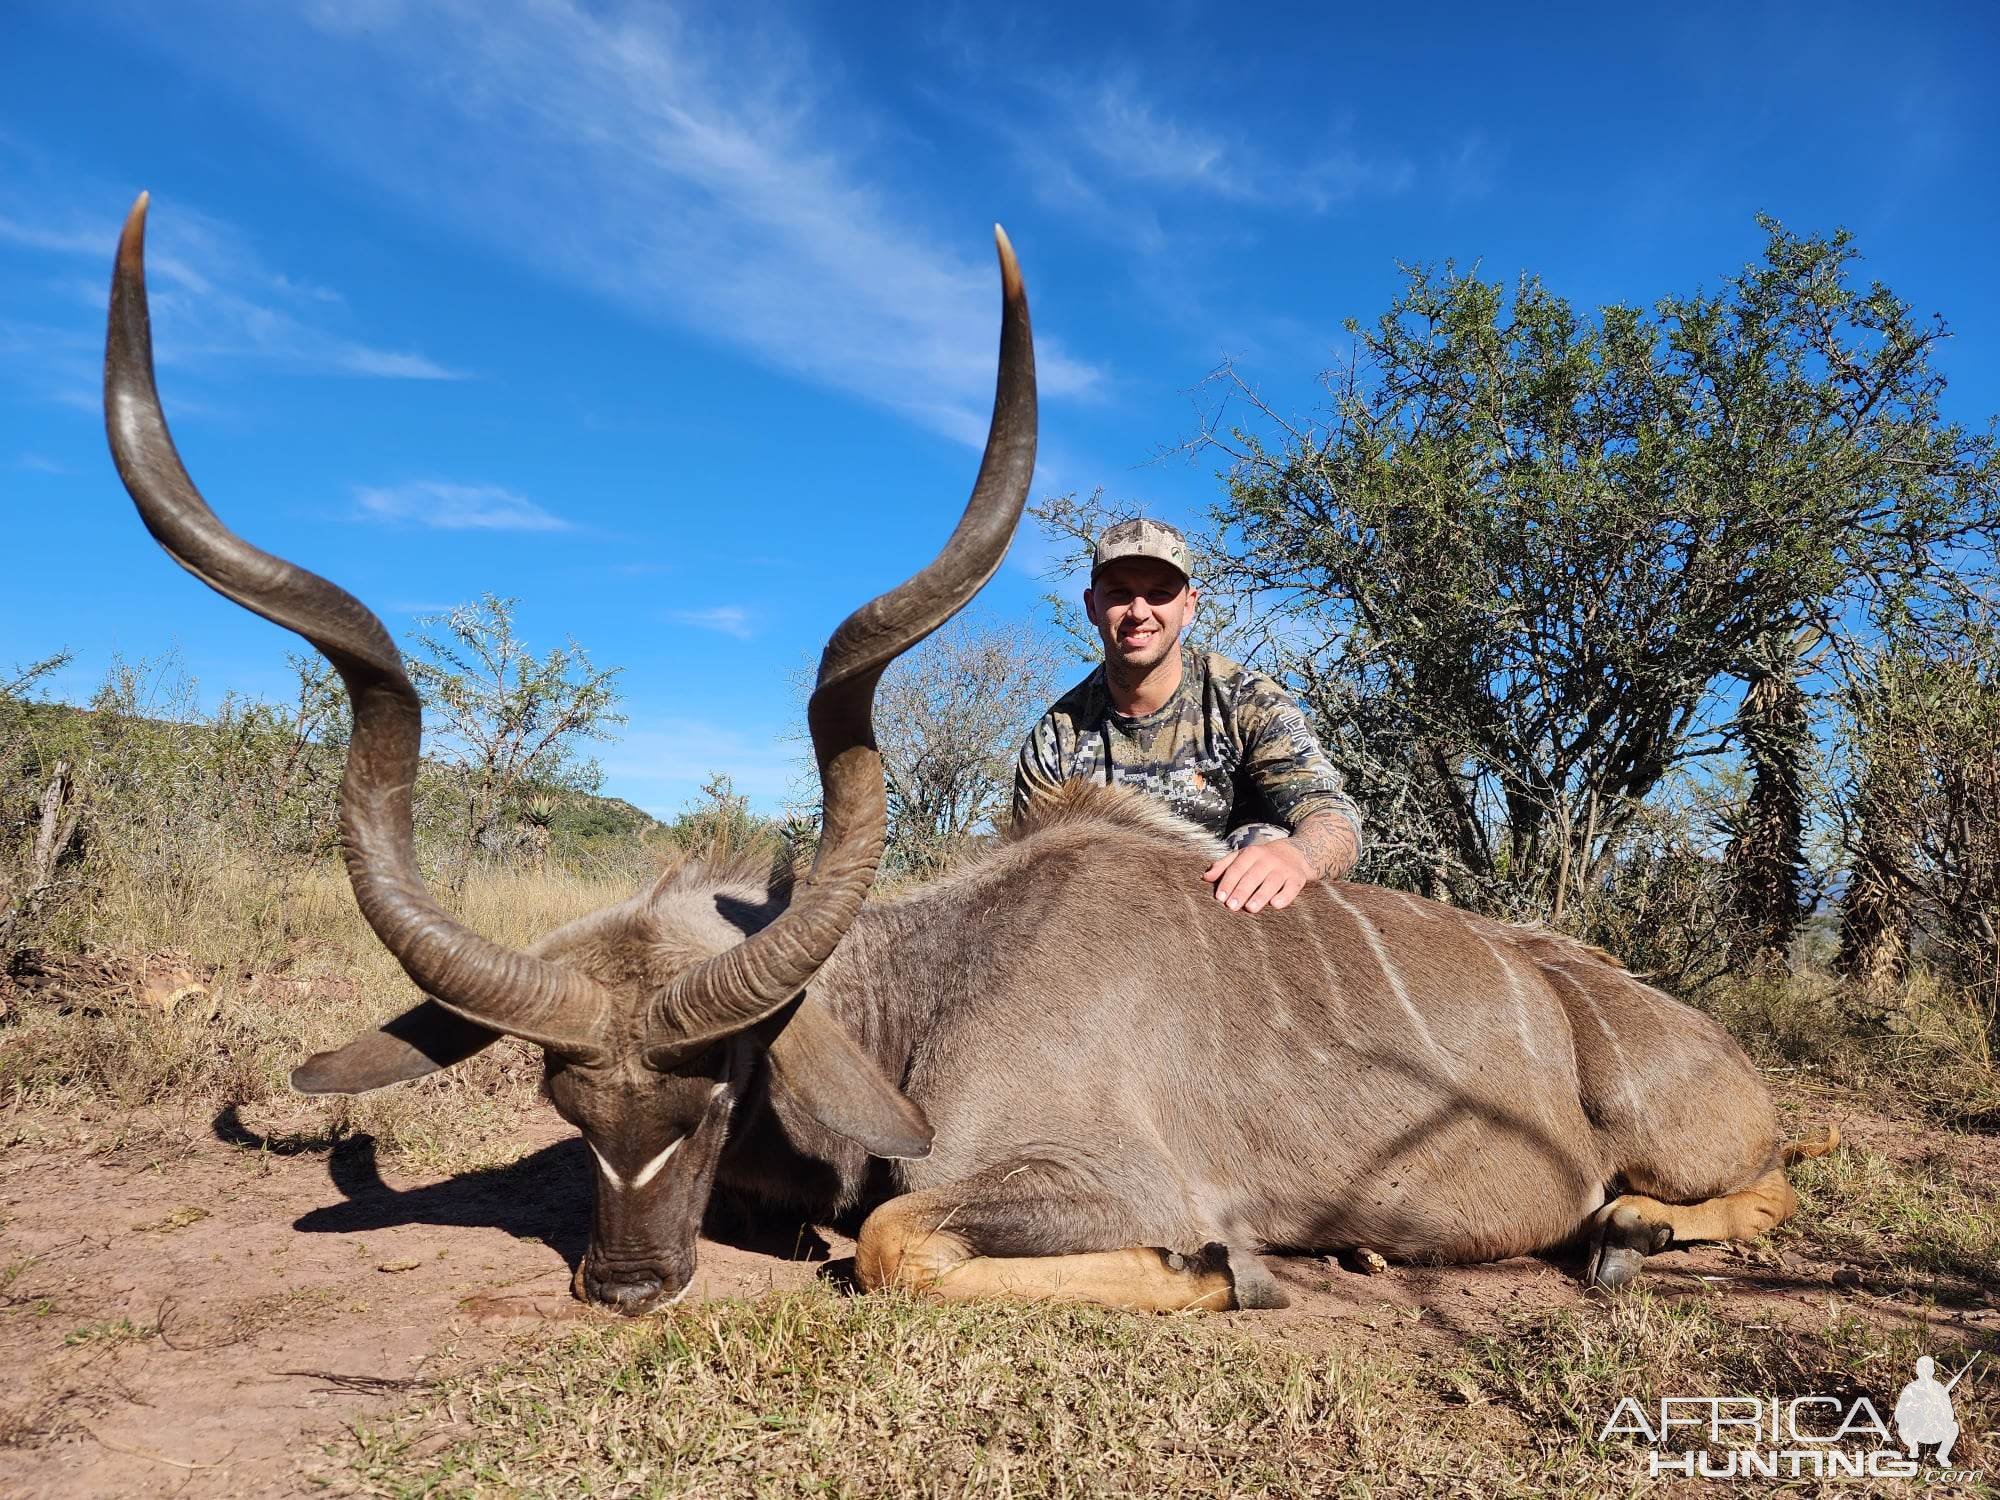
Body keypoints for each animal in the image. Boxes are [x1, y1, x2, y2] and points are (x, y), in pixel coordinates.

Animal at [105, 197, 1832, 1312]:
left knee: (1760, 1181)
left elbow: (898, 1245)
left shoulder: (1091, 1181)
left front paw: (1239, 1275)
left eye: (721, 1091)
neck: (931, 992)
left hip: (1682, 1135)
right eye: (563, 1103)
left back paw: (1620, 1234)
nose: (626, 1286)